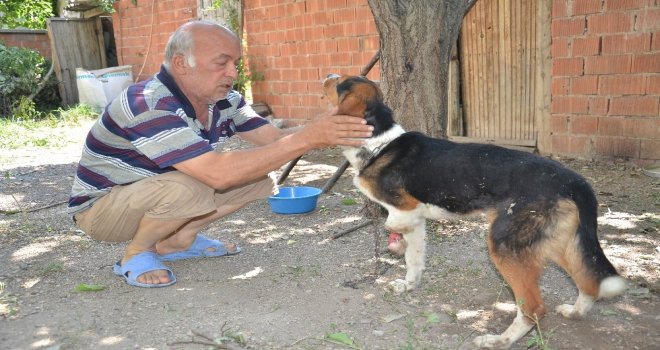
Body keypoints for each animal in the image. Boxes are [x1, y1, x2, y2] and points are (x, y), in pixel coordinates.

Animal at [322, 73, 628, 348]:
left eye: (340, 84)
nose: (326, 75)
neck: (380, 141)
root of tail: (572, 180)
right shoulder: (416, 220)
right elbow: (414, 260)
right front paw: (409, 285)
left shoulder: (404, 212)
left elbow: (399, 238)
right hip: (559, 242)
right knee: (588, 281)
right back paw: (575, 311)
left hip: (505, 245)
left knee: (533, 309)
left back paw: (499, 340)